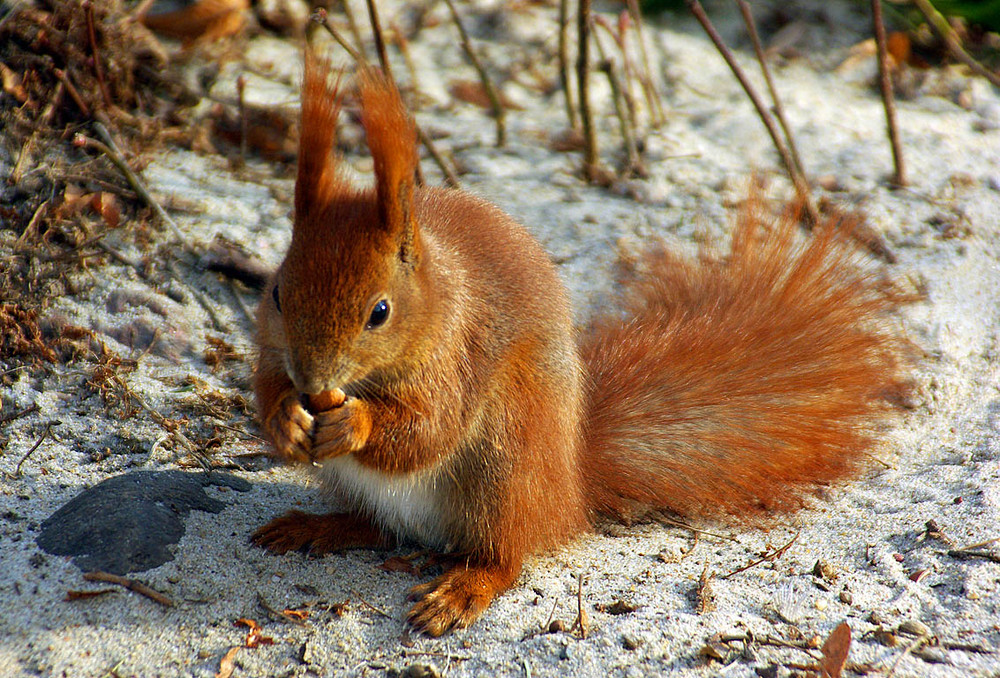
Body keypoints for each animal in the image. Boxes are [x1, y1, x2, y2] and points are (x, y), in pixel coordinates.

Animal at [252, 53, 916, 636]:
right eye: (277, 293)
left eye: (380, 313)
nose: (313, 383)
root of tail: (569, 487)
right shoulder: (270, 343)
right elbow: (264, 385)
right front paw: (284, 416)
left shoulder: (460, 355)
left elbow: (428, 430)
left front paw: (354, 423)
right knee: (381, 528)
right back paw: (317, 527)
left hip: (508, 460)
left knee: (504, 554)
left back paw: (463, 588)